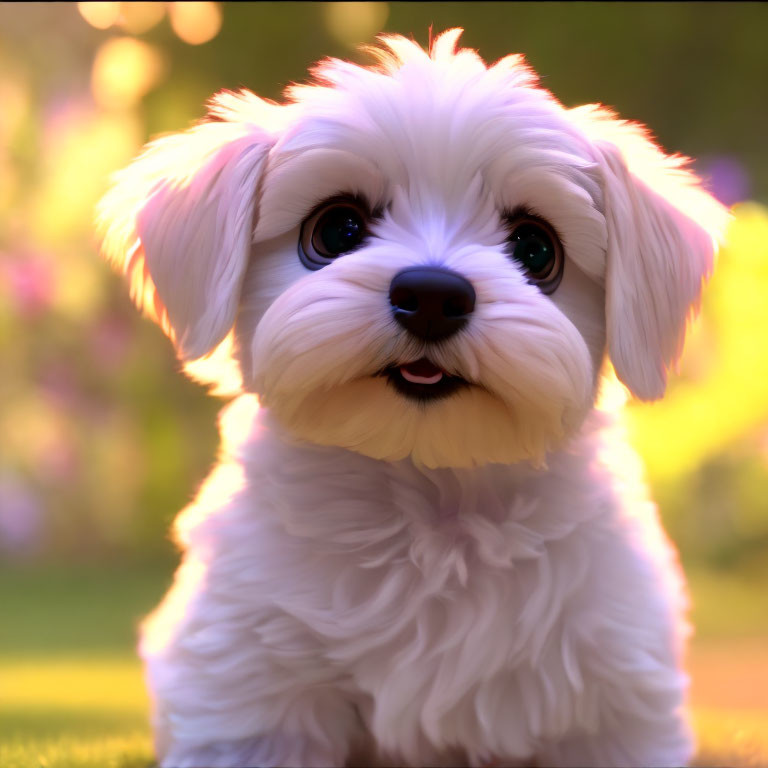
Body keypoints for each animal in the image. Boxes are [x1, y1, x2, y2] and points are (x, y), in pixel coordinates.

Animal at [99, 30, 728, 768]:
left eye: (537, 248)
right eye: (335, 230)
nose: (432, 294)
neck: (433, 512)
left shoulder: (610, 698)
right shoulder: (249, 686)